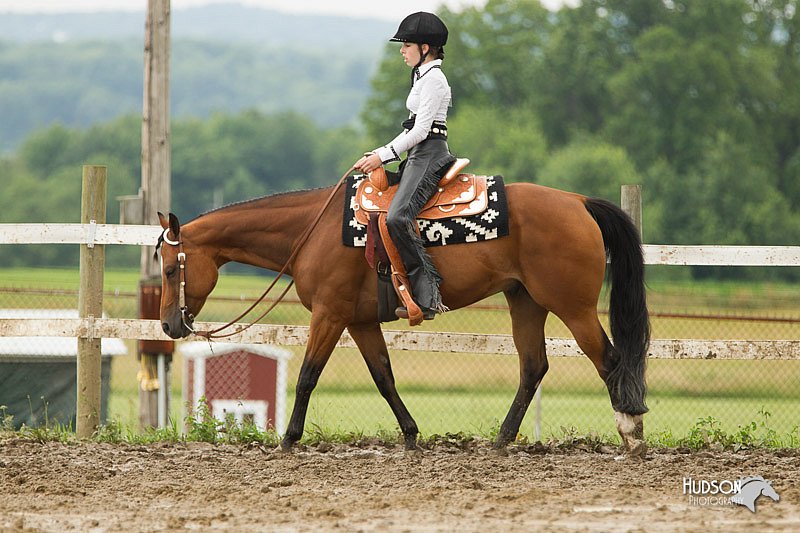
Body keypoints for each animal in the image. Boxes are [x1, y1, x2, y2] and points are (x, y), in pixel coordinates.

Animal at [156, 177, 648, 456]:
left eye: (169, 268)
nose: (168, 325)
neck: (310, 232)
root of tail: (578, 201)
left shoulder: (330, 315)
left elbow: (308, 376)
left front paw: (289, 439)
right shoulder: (359, 321)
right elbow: (384, 377)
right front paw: (411, 435)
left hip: (572, 306)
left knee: (609, 359)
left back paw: (631, 434)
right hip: (524, 300)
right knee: (533, 367)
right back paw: (501, 441)